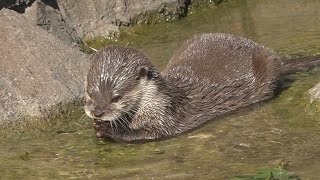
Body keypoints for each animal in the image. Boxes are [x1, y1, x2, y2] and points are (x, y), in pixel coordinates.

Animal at [84, 32, 320, 142]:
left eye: (116, 97)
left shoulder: (167, 115)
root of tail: (276, 60)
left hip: (267, 68)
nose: (97, 111)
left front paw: (107, 129)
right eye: (89, 93)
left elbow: (153, 134)